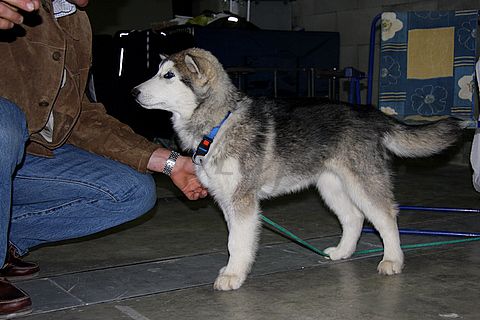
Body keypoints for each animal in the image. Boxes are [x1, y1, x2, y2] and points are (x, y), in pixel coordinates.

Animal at [133, 48, 464, 292]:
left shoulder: (243, 201)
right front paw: (232, 269)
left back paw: (392, 260)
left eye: (169, 75)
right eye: (158, 72)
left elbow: (237, 242)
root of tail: (369, 112)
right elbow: (232, 240)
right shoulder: (227, 200)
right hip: (331, 186)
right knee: (354, 218)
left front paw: (234, 275)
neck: (219, 123)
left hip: (363, 183)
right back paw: (342, 252)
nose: (134, 91)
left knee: (386, 218)